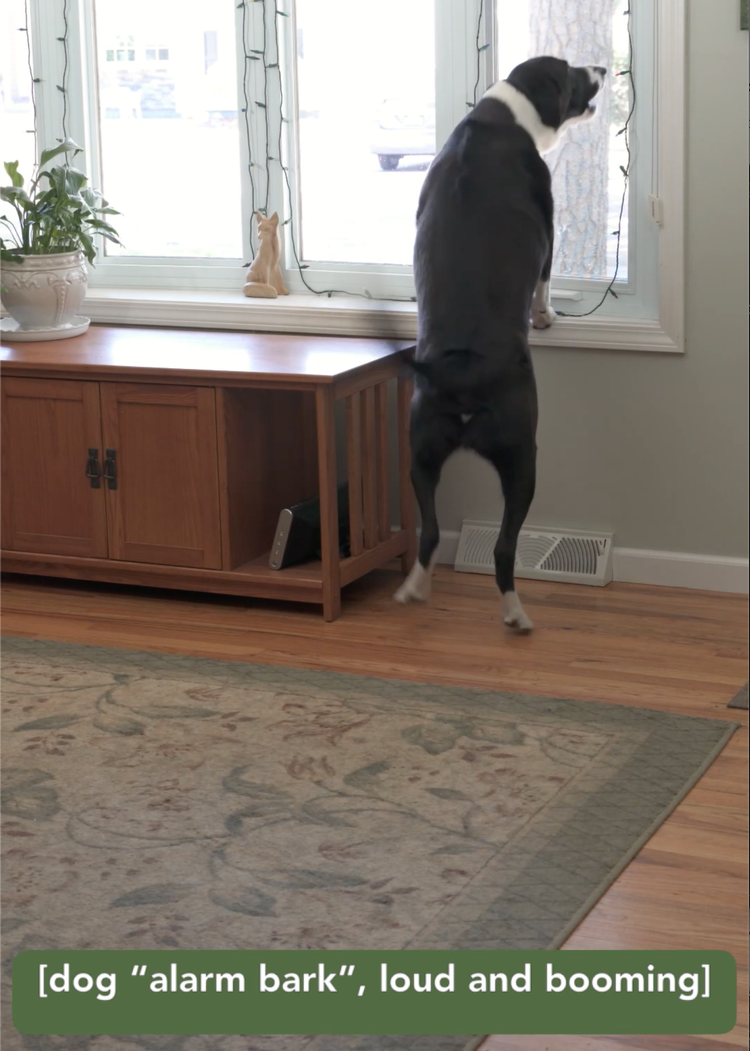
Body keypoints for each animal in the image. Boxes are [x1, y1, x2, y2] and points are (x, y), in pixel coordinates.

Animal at [394, 55, 605, 630]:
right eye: (573, 72)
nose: (603, 68)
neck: (504, 116)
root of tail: (463, 373)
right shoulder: (549, 228)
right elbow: (545, 281)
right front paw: (547, 317)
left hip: (420, 451)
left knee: (430, 530)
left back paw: (414, 589)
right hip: (521, 456)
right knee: (504, 548)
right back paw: (516, 615)